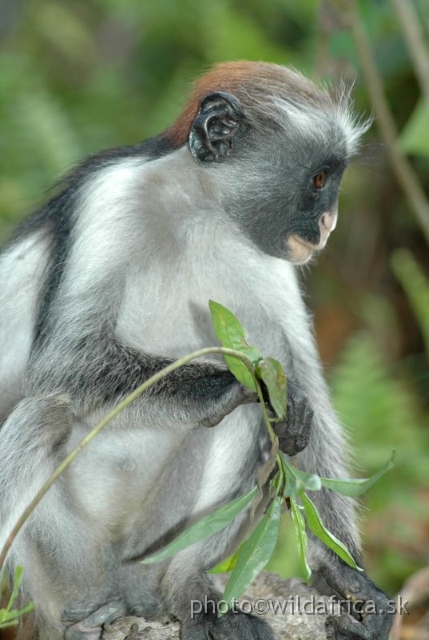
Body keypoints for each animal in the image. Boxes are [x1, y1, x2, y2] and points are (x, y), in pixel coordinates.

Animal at [0, 61, 392, 640]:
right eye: (320, 180)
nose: (330, 225)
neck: (199, 212)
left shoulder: (265, 254)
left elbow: (302, 393)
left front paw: (346, 575)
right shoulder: (108, 196)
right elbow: (63, 362)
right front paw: (233, 383)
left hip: (151, 545)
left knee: (250, 423)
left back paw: (191, 594)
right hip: (59, 565)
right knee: (42, 413)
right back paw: (74, 617)